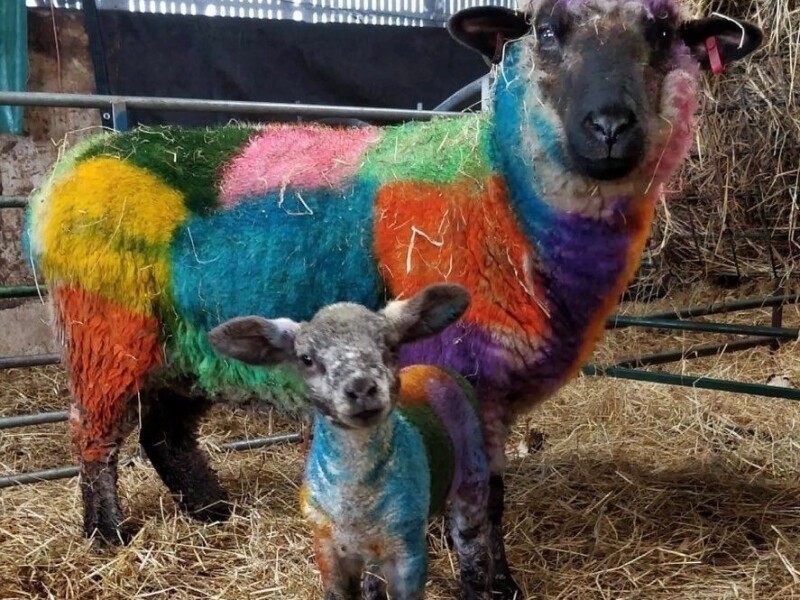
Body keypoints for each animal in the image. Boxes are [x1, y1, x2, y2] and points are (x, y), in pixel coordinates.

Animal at [208, 283, 491, 600]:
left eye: (390, 346)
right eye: (306, 359)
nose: (361, 388)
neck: (356, 494)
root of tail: (438, 369)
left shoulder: (408, 552)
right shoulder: (327, 546)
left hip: (473, 475)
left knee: (472, 545)